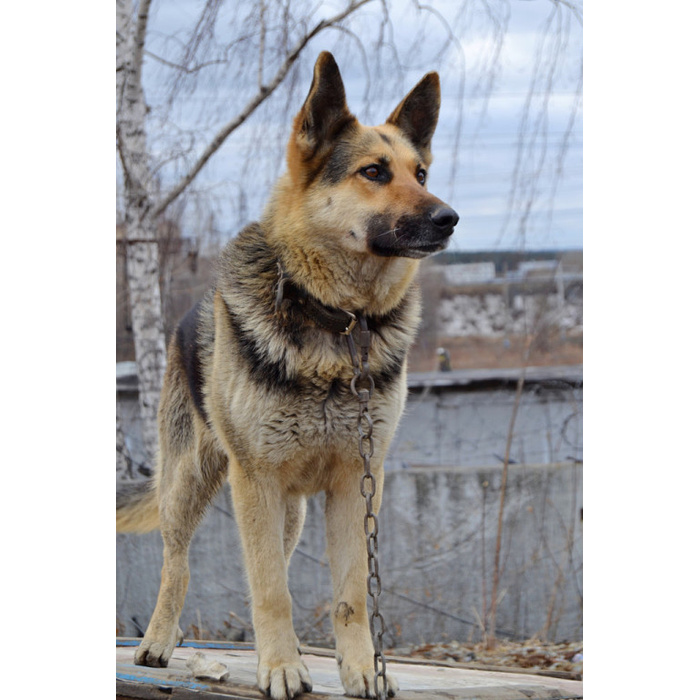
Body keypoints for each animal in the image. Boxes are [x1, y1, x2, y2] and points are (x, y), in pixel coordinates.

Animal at [117, 52, 460, 696]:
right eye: (373, 172)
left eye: (421, 173)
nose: (449, 218)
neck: (339, 323)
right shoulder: (258, 479)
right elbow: (270, 589)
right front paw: (279, 668)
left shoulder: (356, 481)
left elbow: (351, 594)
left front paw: (361, 670)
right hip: (192, 484)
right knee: (179, 564)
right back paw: (158, 640)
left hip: (291, 511)